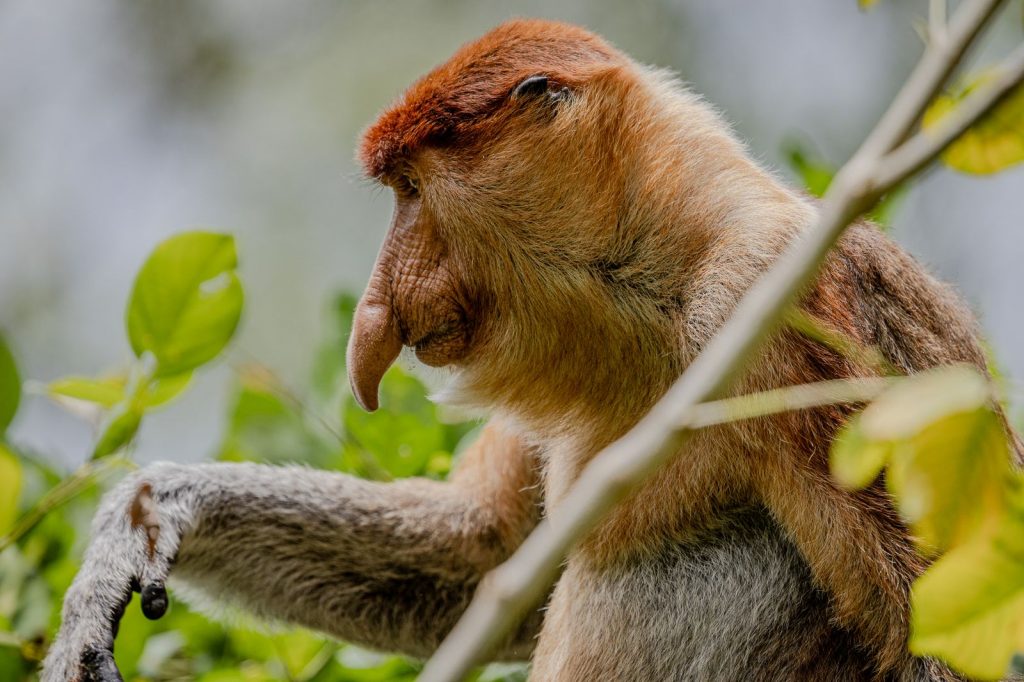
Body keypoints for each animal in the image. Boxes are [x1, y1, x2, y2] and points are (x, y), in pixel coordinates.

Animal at [42, 18, 1019, 682]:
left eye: (409, 189)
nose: (373, 311)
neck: (661, 285)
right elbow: (483, 554)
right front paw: (142, 525)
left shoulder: (767, 297)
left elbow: (933, 624)